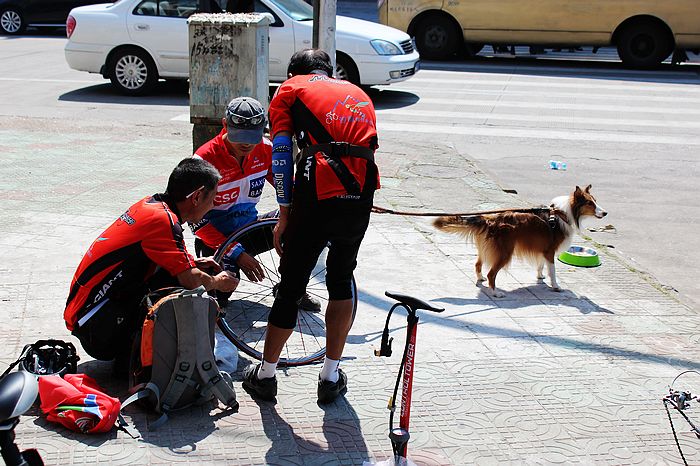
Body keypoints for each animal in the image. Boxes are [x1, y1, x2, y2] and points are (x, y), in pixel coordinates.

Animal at [432, 185, 608, 296]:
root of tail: (489, 219)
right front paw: (556, 286)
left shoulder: (544, 250)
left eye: (595, 200)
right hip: (504, 253)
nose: (605, 213)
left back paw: (480, 279)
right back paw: (495, 293)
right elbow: (552, 271)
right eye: (590, 203)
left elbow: (541, 265)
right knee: (491, 274)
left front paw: (540, 277)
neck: (563, 213)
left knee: (478, 265)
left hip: (484, 249)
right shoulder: (550, 251)